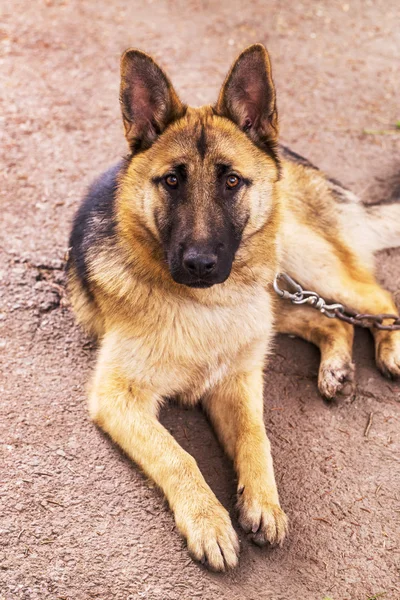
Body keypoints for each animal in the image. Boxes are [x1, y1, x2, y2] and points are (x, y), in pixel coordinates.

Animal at [66, 44, 400, 568]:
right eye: (172, 180)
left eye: (231, 182)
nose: (200, 264)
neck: (203, 306)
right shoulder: (119, 397)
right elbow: (178, 455)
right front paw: (209, 521)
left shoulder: (237, 382)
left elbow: (254, 437)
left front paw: (264, 503)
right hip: (277, 294)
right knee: (331, 319)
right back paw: (336, 366)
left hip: (301, 259)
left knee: (376, 299)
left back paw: (387, 350)